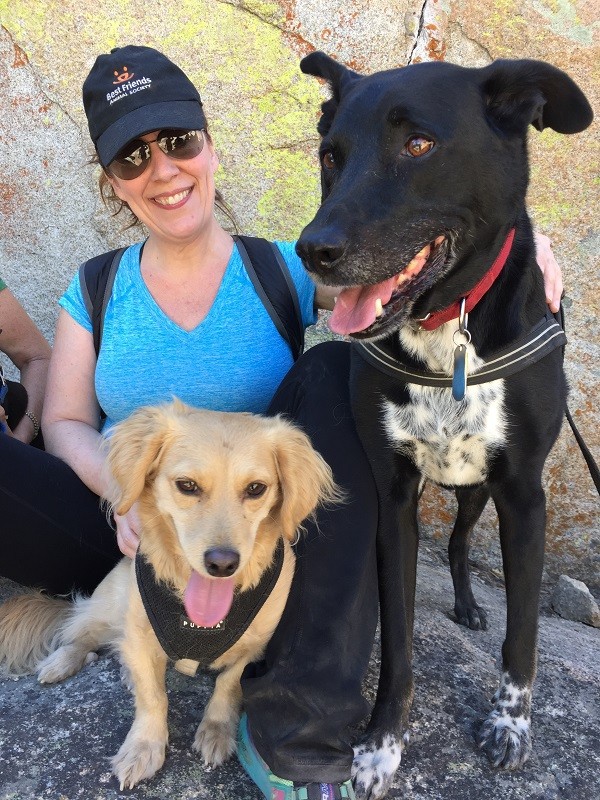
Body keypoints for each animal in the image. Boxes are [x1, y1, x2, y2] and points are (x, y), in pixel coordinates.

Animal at [0, 404, 338, 792]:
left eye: (256, 489)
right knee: (81, 632)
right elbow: (153, 697)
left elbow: (228, 685)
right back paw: (63, 661)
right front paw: (143, 748)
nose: (223, 564)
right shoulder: (140, 635)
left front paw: (217, 730)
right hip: (109, 607)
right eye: (187, 486)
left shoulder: (255, 647)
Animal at [296, 53, 592, 796]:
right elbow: (398, 639)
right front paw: (380, 746)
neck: (445, 329)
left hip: (478, 491)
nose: (313, 249)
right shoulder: (392, 493)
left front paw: (510, 724)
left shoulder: (524, 494)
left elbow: (524, 633)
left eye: (419, 144)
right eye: (330, 155)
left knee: (460, 545)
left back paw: (468, 605)